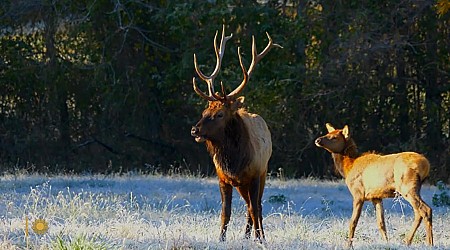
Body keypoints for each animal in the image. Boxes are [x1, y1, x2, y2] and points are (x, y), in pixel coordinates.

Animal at [190, 24, 282, 241]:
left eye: (220, 114)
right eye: (204, 112)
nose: (194, 130)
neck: (235, 161)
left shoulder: (255, 174)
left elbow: (256, 208)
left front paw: (261, 238)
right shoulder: (223, 178)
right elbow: (226, 211)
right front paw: (221, 238)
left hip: (264, 171)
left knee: (255, 206)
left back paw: (256, 234)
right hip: (242, 184)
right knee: (249, 206)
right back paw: (247, 235)